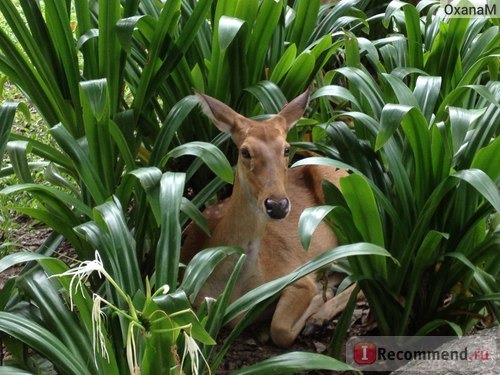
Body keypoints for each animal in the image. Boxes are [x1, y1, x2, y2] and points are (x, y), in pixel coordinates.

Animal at [182, 89, 350, 350]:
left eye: (286, 149)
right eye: (245, 151)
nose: (277, 205)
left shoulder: (294, 275)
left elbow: (279, 329)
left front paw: (316, 303)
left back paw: (319, 317)